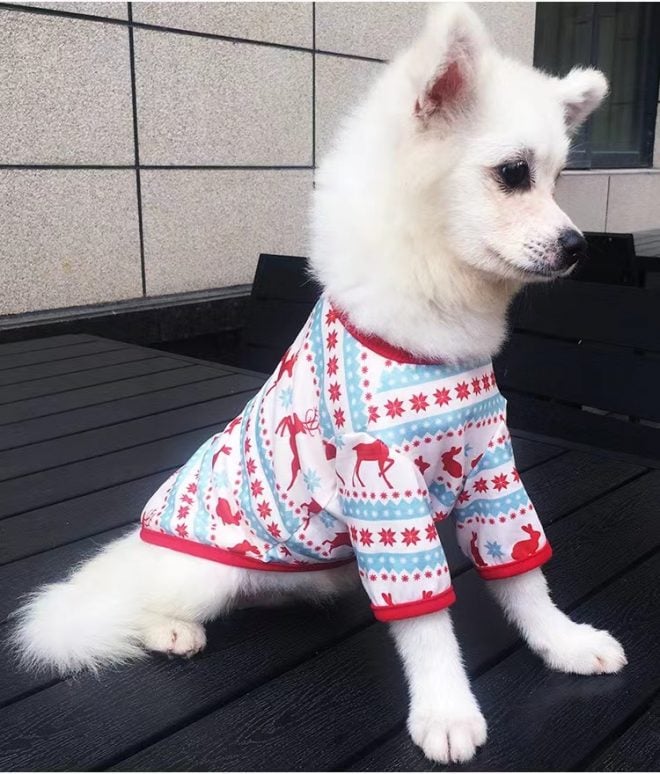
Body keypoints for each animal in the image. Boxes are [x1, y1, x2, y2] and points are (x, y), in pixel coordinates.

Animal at [12, 6, 628, 768]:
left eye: (558, 179)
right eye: (513, 174)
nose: (579, 246)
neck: (433, 333)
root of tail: (148, 542)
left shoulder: (491, 471)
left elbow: (524, 577)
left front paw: (564, 643)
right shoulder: (384, 497)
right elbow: (427, 622)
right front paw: (446, 709)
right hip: (204, 573)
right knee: (148, 604)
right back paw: (170, 631)